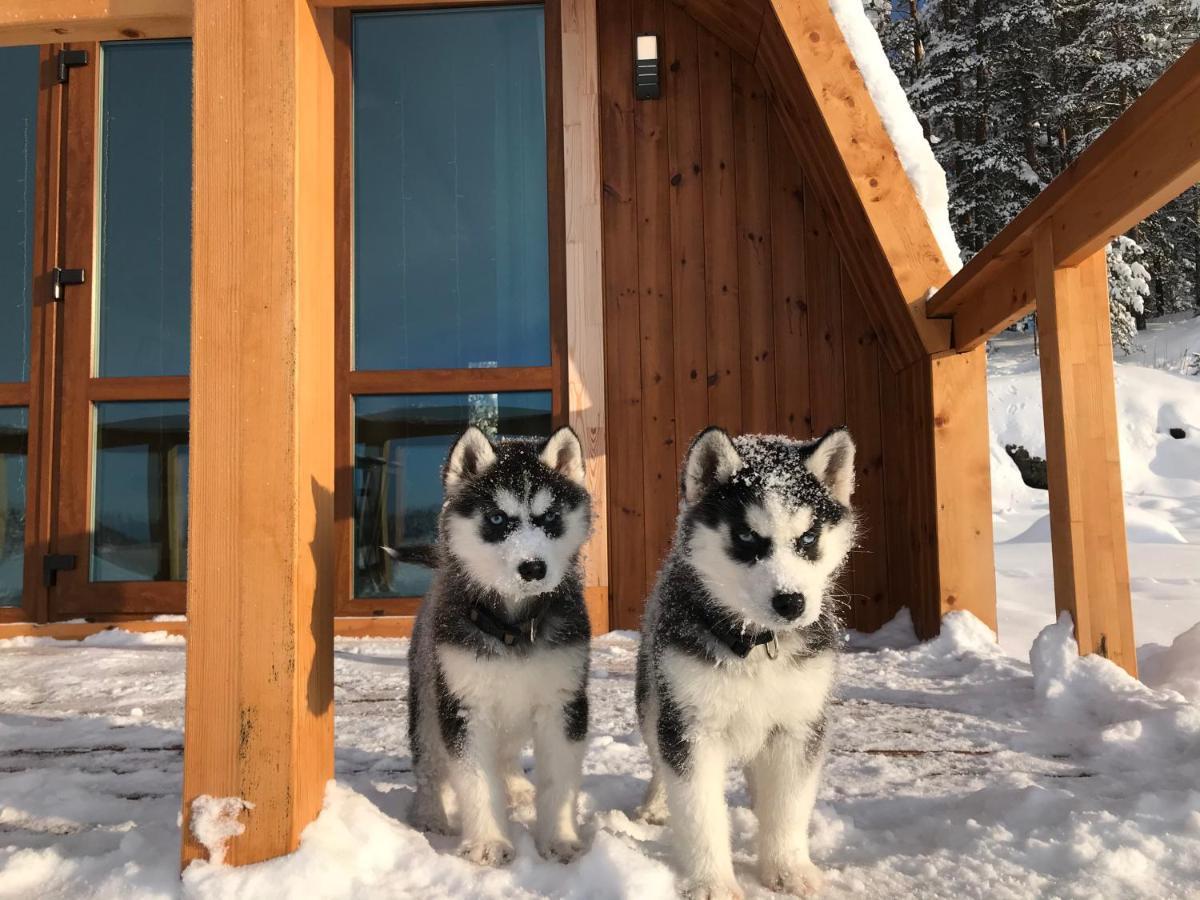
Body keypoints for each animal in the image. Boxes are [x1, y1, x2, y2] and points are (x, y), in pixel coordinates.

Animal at [410, 427, 592, 868]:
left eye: (550, 518)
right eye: (496, 519)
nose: (533, 568)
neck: (512, 626)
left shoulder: (564, 701)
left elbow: (559, 779)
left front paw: (559, 839)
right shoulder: (464, 705)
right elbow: (476, 781)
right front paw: (488, 842)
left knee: (506, 754)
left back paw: (517, 788)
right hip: (428, 699)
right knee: (429, 763)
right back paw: (430, 813)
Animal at [638, 427, 854, 897]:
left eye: (808, 538)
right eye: (747, 537)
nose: (791, 602)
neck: (756, 646)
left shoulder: (799, 723)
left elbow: (789, 804)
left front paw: (788, 868)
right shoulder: (690, 725)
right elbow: (699, 811)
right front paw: (713, 882)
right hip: (652, 700)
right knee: (659, 759)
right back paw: (656, 805)